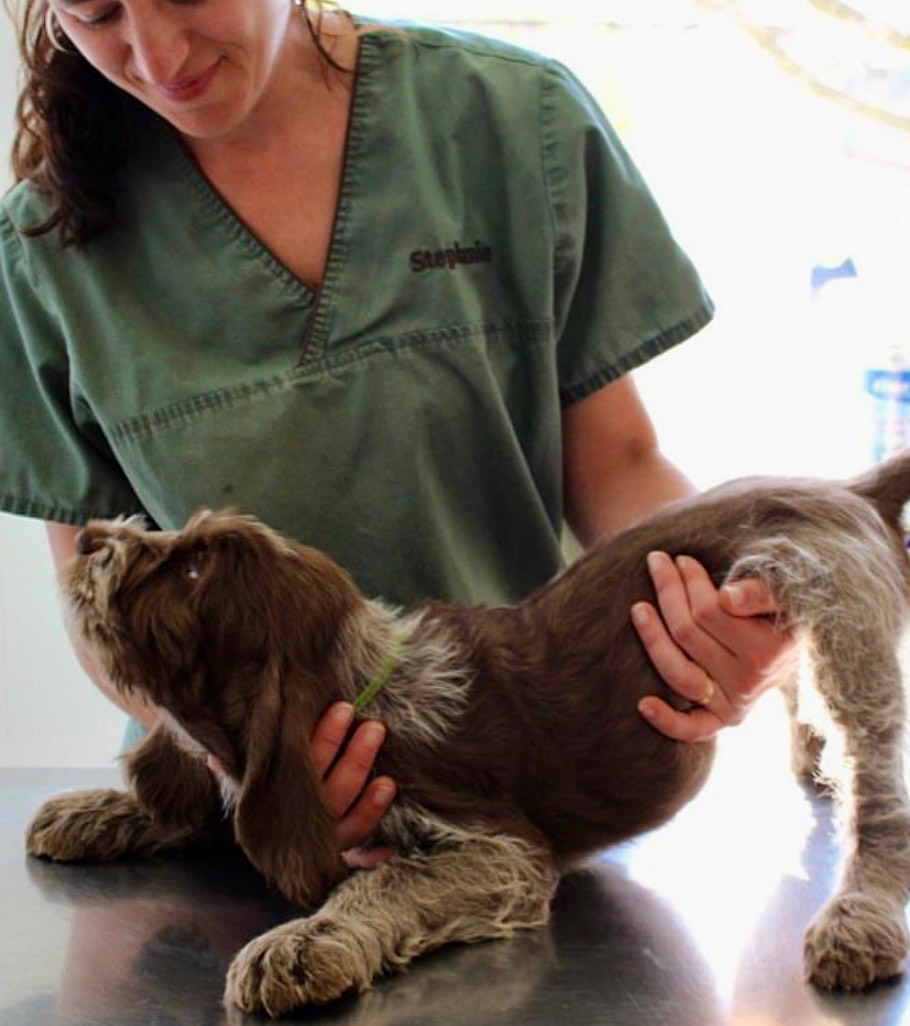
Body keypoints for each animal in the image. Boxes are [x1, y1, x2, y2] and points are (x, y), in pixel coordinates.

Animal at [26, 451, 910, 1016]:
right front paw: (99, 810)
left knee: (880, 800)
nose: (93, 538)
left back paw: (859, 918)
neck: (364, 679)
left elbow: (380, 881)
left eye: (192, 572)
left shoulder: (502, 853)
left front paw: (305, 940)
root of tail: (847, 488)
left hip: (837, 606)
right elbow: (218, 802)